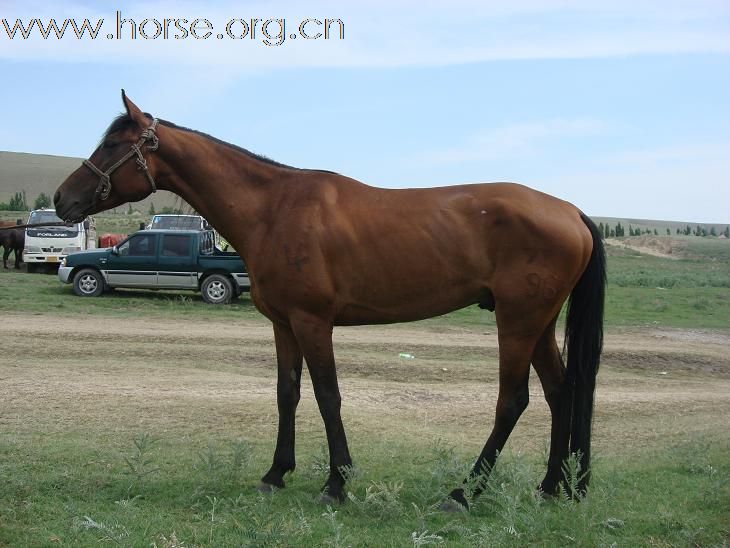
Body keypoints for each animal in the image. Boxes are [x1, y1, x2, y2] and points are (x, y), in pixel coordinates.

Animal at [54, 91, 604, 510]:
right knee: (560, 393)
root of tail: (570, 211)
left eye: (112, 144)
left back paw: (463, 493)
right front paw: (276, 473)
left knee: (513, 401)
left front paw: (336, 483)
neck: (273, 209)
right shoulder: (283, 324)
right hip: (538, 323)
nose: (62, 199)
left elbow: (326, 396)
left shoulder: (313, 322)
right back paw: (549, 488)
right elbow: (288, 393)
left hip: (517, 322)